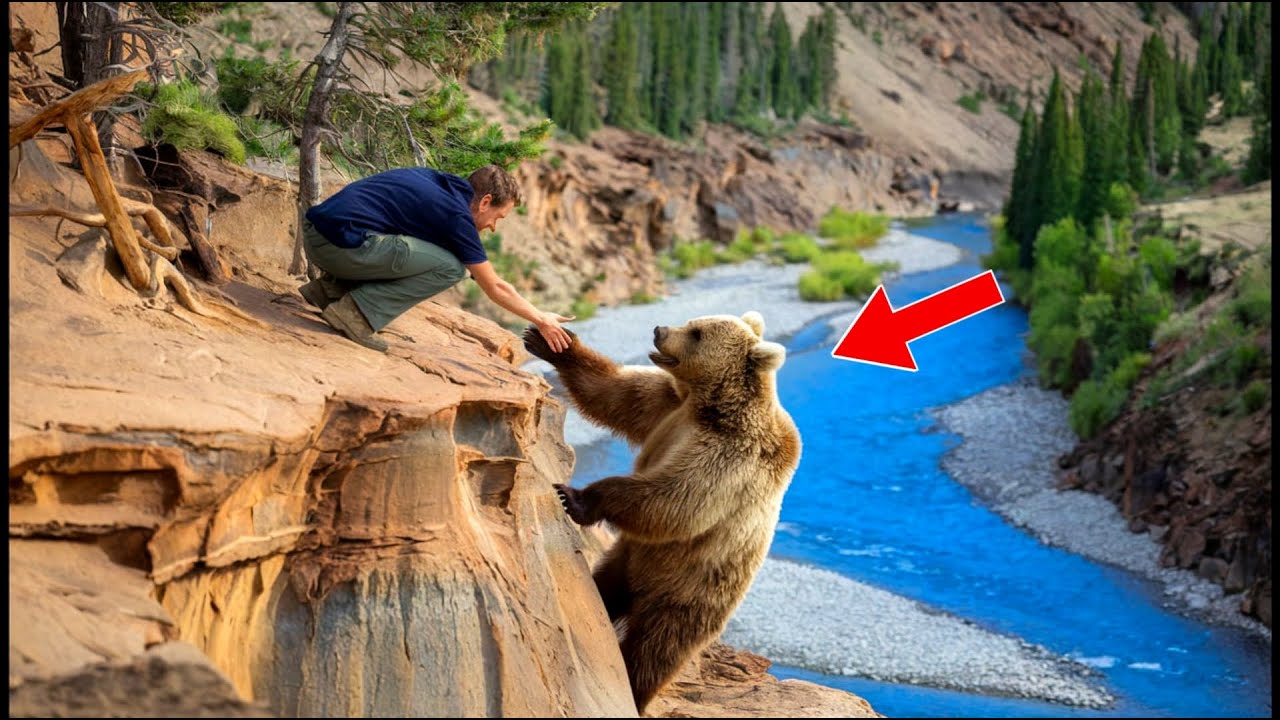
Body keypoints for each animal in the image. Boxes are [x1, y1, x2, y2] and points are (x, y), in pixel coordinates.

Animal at [522, 311, 801, 714]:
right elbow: (616, 394)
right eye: (693, 321)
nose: (659, 330)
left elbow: (676, 501)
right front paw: (550, 341)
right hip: (630, 558)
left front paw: (576, 497)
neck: (711, 407)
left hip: (689, 591)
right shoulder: (669, 406)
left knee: (656, 649)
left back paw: (635, 692)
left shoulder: (730, 457)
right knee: (606, 587)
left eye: (697, 333)